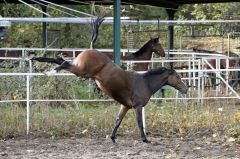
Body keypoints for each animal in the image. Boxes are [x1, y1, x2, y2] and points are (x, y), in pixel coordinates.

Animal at [31, 48, 187, 143]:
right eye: (178, 76)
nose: (186, 89)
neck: (145, 83)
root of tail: (87, 51)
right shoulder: (137, 107)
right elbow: (139, 123)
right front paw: (145, 140)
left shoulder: (125, 106)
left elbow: (118, 121)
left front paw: (112, 137)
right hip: (81, 71)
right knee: (63, 62)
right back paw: (50, 72)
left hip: (78, 69)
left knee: (58, 60)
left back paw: (39, 60)